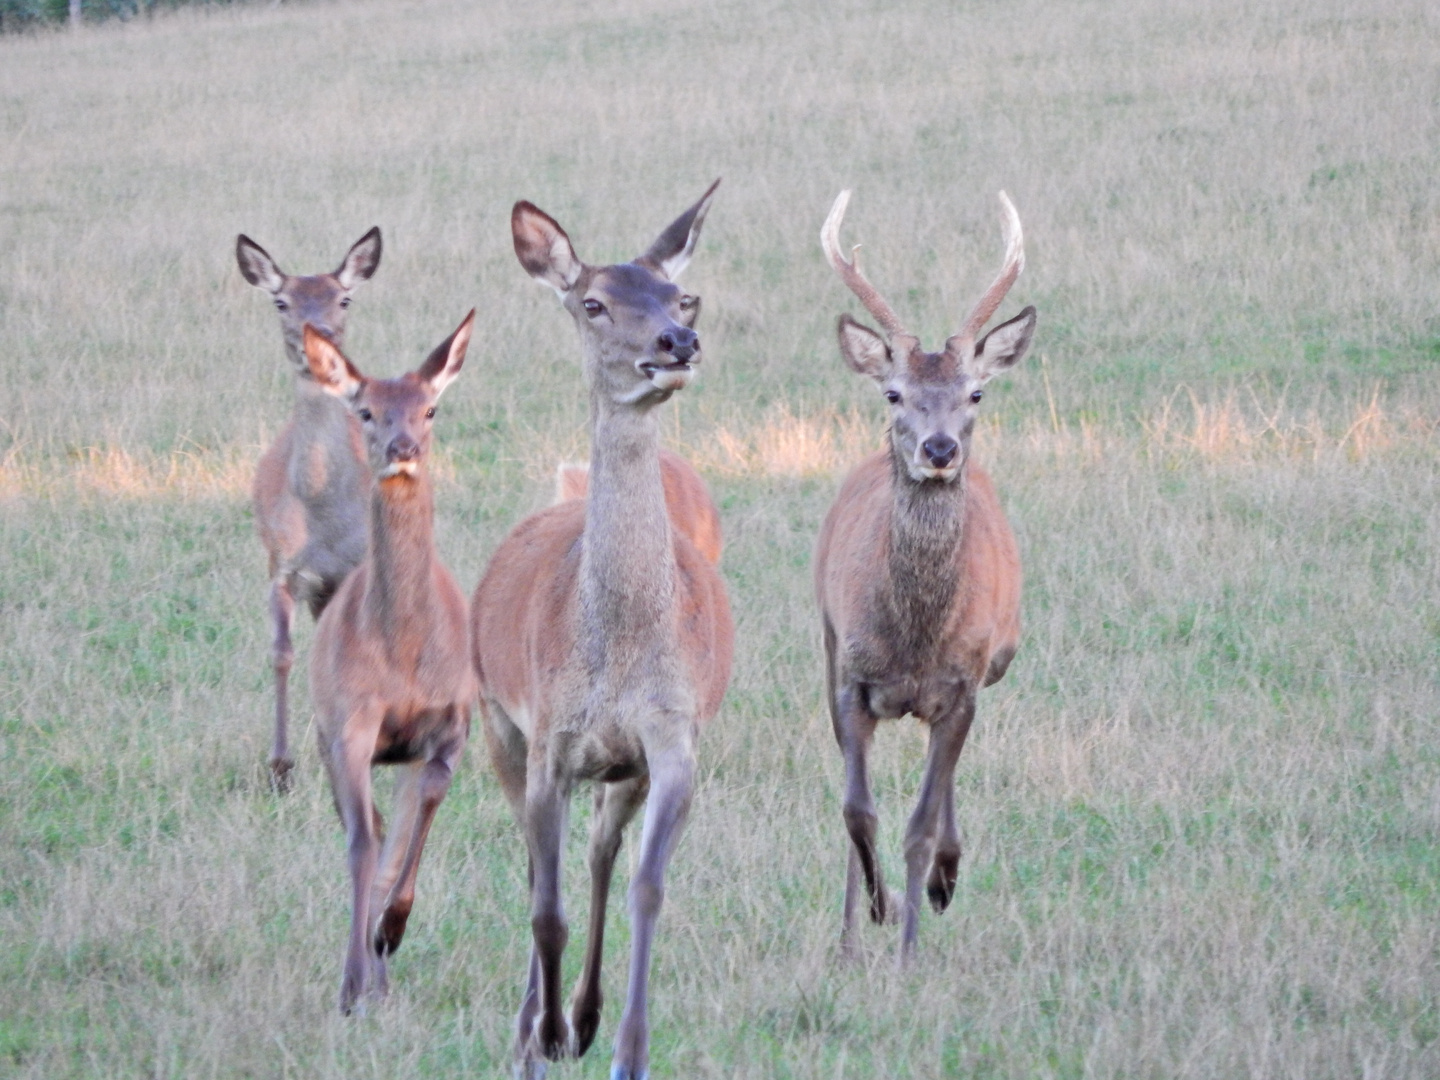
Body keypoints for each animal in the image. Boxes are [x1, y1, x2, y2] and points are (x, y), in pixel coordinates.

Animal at [236, 228, 383, 789]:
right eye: (281, 301)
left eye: (344, 298)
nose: (315, 334)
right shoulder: (281, 567)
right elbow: (282, 654)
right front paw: (280, 766)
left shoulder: (357, 567)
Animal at [472, 184, 737, 1080]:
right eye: (592, 303)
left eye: (682, 297)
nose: (677, 342)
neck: (617, 653)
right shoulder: (549, 737)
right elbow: (543, 905)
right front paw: (539, 1035)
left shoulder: (671, 735)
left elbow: (645, 887)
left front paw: (624, 1049)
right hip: (493, 722)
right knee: (534, 864)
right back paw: (537, 1021)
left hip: (616, 771)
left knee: (595, 854)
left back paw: (581, 1015)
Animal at [812, 192, 1036, 961]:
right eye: (892, 394)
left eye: (975, 394)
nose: (938, 450)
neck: (914, 638)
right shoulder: (851, 677)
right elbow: (856, 812)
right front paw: (861, 929)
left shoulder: (964, 684)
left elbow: (918, 823)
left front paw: (909, 944)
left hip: (996, 664)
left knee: (943, 794)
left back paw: (944, 878)